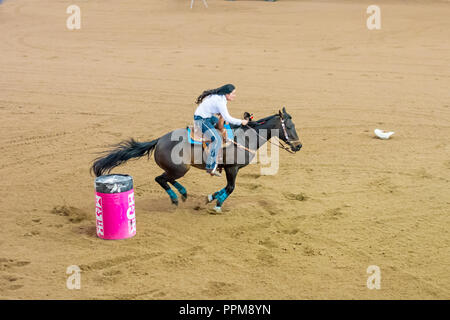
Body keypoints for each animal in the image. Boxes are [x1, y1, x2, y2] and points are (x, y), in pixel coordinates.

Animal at [91, 107, 302, 212]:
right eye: (290, 126)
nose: (299, 146)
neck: (246, 137)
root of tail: (159, 140)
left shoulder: (229, 169)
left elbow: (226, 188)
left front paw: (211, 197)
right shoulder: (232, 168)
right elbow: (230, 188)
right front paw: (217, 204)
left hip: (176, 169)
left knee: (166, 179)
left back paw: (183, 194)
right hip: (179, 169)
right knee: (161, 179)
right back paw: (176, 198)